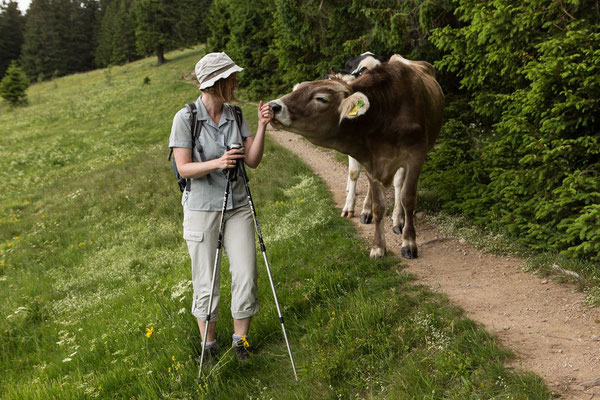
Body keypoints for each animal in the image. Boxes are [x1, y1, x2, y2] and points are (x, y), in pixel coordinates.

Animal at [270, 54, 442, 260]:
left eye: (321, 98)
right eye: (295, 90)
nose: (273, 106)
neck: (386, 114)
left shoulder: (416, 155)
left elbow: (407, 199)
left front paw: (409, 243)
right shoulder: (370, 158)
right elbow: (378, 205)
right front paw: (378, 246)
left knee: (399, 185)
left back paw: (397, 219)